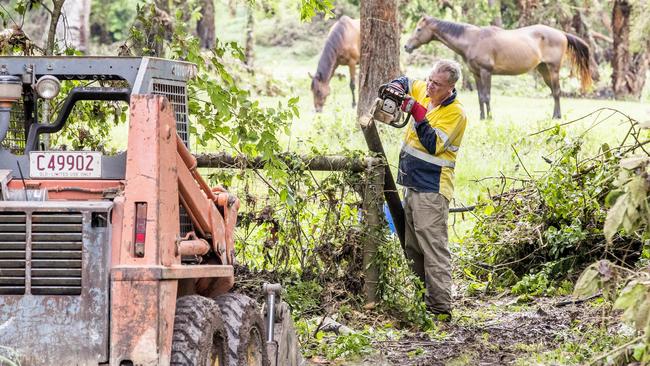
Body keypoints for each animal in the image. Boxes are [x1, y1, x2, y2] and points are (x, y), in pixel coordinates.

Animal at [402, 16, 588, 118]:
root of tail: (561, 33)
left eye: (419, 29)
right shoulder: (476, 73)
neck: (472, 39)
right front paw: (482, 117)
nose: (406, 46)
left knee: (556, 92)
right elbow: (480, 97)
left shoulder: (486, 72)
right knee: (554, 92)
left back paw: (557, 117)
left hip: (553, 69)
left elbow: (487, 96)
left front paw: (490, 118)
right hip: (544, 70)